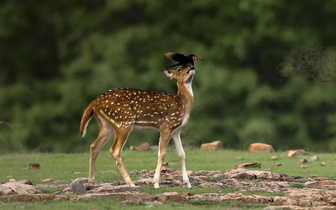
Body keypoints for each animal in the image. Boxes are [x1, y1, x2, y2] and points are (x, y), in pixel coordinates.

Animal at [80, 58, 198, 187]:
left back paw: (91, 181)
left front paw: (188, 184)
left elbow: (182, 154)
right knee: (115, 150)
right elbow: (162, 153)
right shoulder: (166, 125)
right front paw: (156, 183)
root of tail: (94, 103)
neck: (182, 105)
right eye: (179, 69)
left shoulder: (176, 130)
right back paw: (131, 183)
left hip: (107, 126)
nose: (191, 66)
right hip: (124, 121)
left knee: (94, 146)